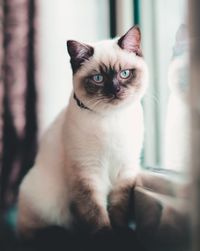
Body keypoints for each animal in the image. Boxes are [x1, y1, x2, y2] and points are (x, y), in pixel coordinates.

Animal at [16, 26, 148, 239]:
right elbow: (95, 213)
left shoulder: (125, 171)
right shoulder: (87, 173)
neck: (111, 118)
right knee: (38, 231)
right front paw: (107, 237)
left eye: (125, 73)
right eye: (98, 79)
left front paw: (121, 234)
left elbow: (118, 210)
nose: (115, 90)